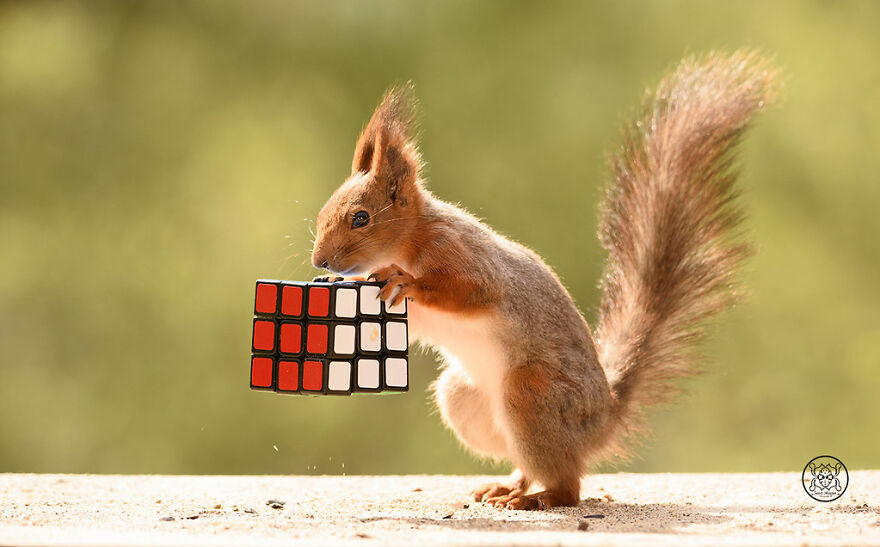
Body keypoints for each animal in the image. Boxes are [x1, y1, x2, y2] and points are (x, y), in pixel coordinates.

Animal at [310, 51, 779, 510]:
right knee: (530, 460)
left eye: (361, 218)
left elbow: (472, 292)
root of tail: (602, 420)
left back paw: (538, 498)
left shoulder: (462, 254)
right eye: (322, 213)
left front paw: (405, 280)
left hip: (532, 392)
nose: (320, 260)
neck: (412, 238)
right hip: (464, 399)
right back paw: (509, 487)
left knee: (568, 485)